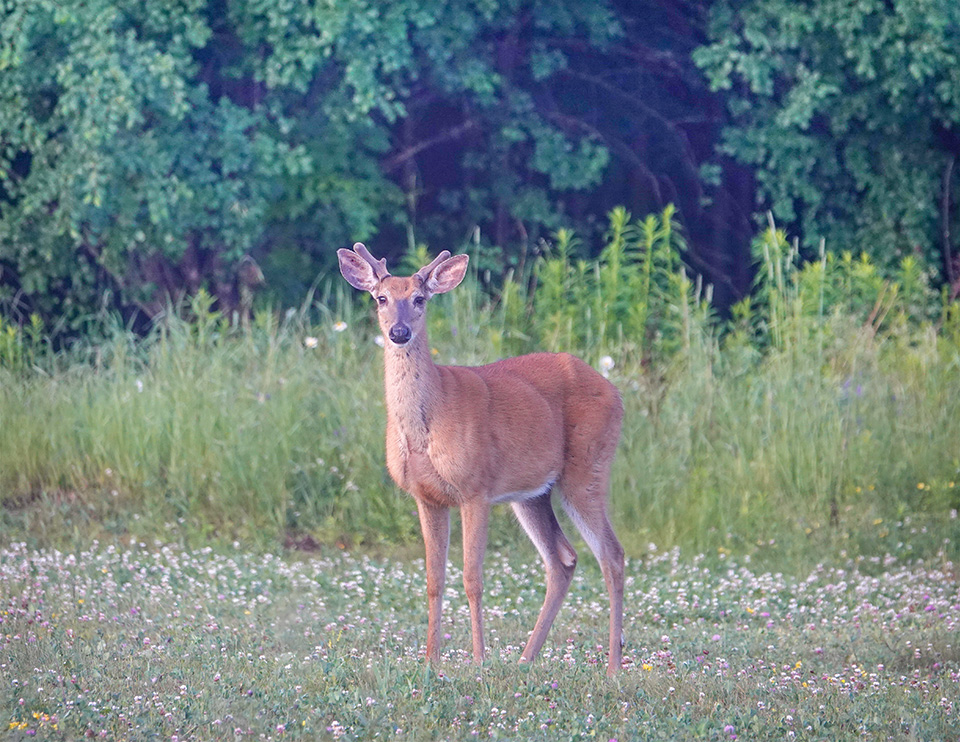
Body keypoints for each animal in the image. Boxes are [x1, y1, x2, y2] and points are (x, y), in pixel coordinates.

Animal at [342, 241, 628, 676]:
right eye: (381, 298)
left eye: (420, 298)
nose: (399, 332)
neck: (426, 425)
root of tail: (615, 392)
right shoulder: (426, 497)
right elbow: (433, 579)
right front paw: (430, 660)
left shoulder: (474, 488)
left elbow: (472, 578)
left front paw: (478, 660)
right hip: (532, 493)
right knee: (563, 559)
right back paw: (526, 658)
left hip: (587, 467)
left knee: (611, 555)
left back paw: (612, 667)